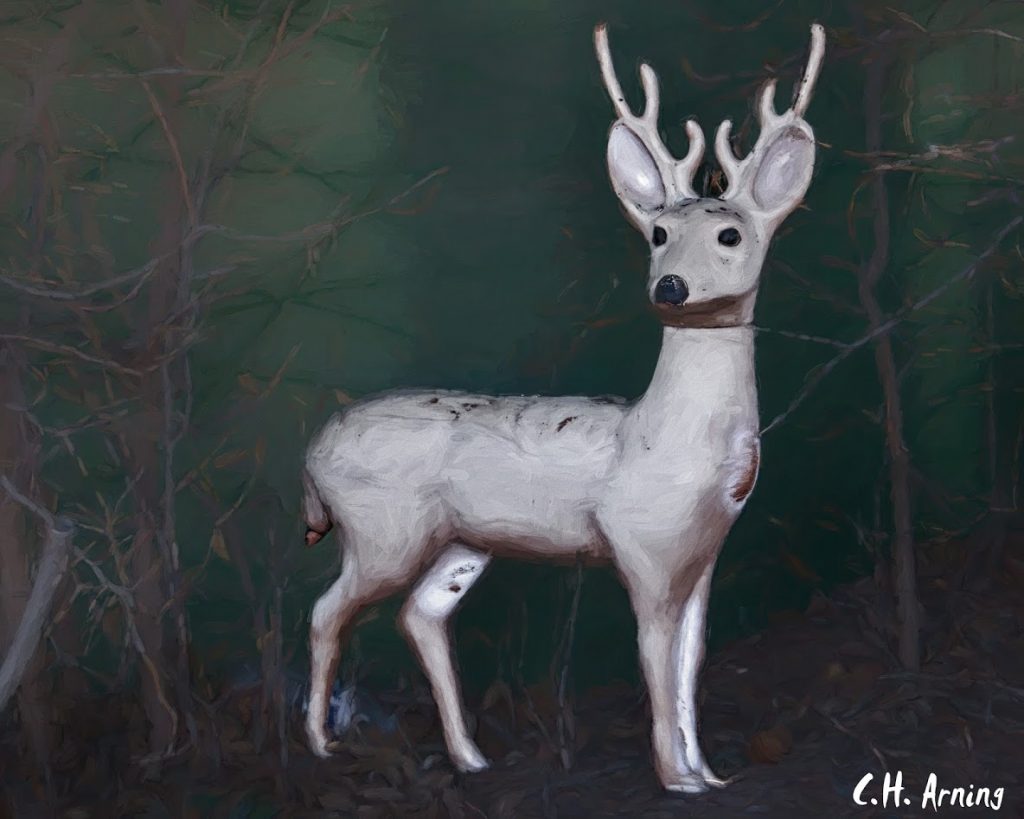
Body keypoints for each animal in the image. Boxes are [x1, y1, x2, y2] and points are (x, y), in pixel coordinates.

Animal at [301, 22, 825, 793]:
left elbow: (691, 659)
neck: (664, 442)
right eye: (657, 234)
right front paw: (675, 778)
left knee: (420, 617)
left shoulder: (702, 553)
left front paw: (710, 773)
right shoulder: (641, 545)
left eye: (730, 234)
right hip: (380, 529)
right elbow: (654, 656)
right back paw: (320, 741)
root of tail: (311, 453)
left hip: (460, 540)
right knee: (326, 609)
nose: (670, 287)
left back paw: (471, 755)